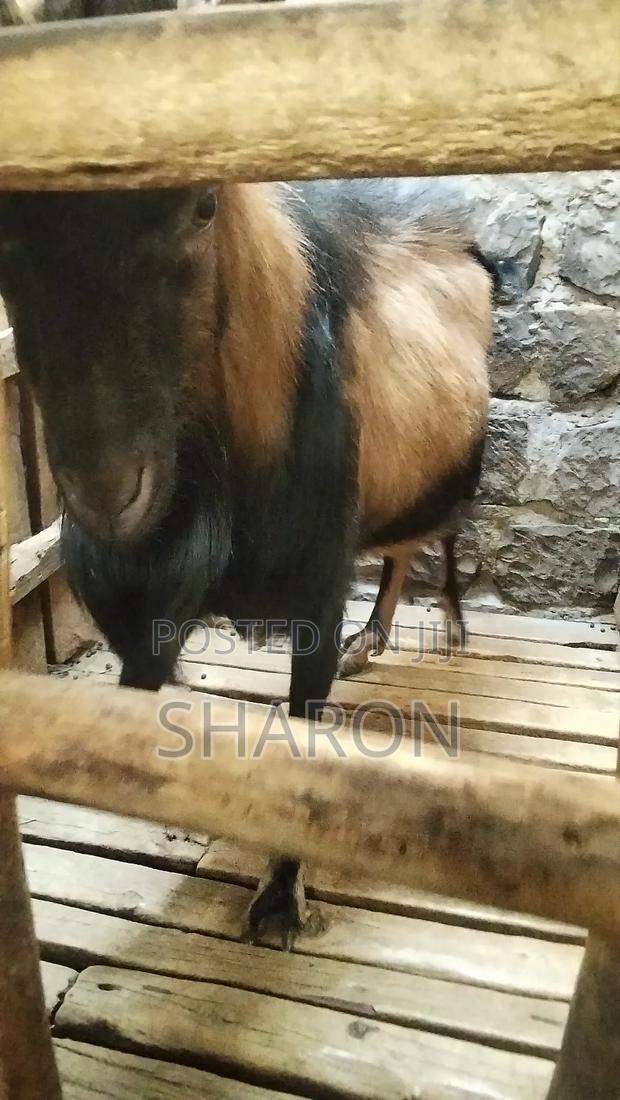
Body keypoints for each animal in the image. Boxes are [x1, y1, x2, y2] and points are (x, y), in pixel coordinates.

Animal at [0, 178, 500, 947]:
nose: (107, 492)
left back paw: (444, 624)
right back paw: (372, 641)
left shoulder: (318, 588)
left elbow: (302, 745)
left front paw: (279, 902)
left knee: (435, 541)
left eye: (204, 206)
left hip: (451, 476)